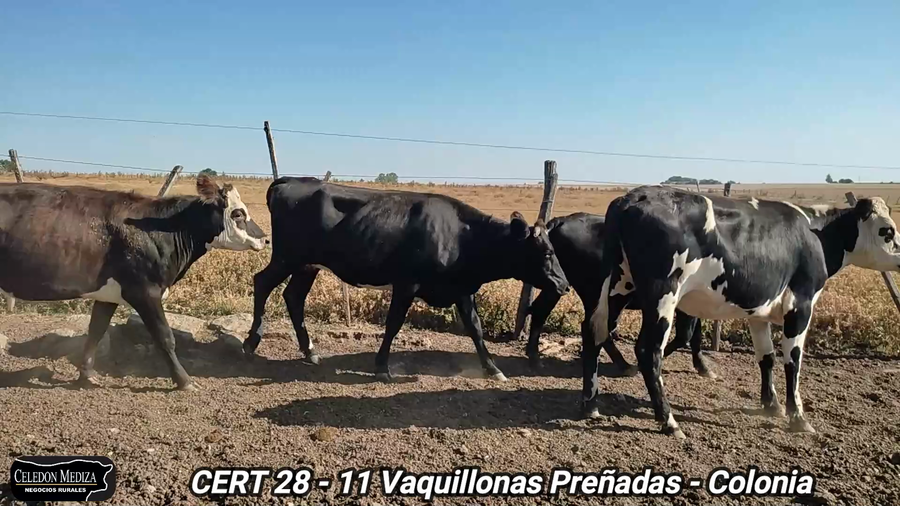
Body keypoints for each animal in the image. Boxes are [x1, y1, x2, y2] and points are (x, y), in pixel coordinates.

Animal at [0, 175, 267, 390]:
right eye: (238, 213)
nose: (265, 238)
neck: (158, 230)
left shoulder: (108, 294)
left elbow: (96, 331)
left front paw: (87, 375)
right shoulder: (145, 291)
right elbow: (165, 337)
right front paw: (184, 381)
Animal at [242, 177, 570, 382]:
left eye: (554, 249)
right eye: (546, 252)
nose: (564, 285)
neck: (462, 236)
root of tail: (291, 180)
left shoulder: (462, 289)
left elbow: (475, 329)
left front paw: (492, 369)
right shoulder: (406, 283)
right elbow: (393, 324)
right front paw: (382, 367)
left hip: (307, 265)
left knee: (293, 297)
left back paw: (310, 351)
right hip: (287, 257)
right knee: (262, 283)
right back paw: (250, 343)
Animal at [525, 212, 715, 379]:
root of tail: (561, 221)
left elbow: (695, 336)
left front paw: (703, 367)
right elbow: (685, 336)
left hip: (557, 286)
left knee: (540, 311)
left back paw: (534, 357)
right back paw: (624, 365)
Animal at [585, 185, 900, 438]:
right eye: (888, 231)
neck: (815, 234)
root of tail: (631, 197)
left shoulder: (759, 312)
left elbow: (766, 357)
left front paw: (771, 406)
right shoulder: (800, 304)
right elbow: (793, 361)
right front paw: (798, 418)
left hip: (617, 287)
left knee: (594, 333)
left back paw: (590, 404)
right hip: (662, 295)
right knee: (648, 351)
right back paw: (669, 422)